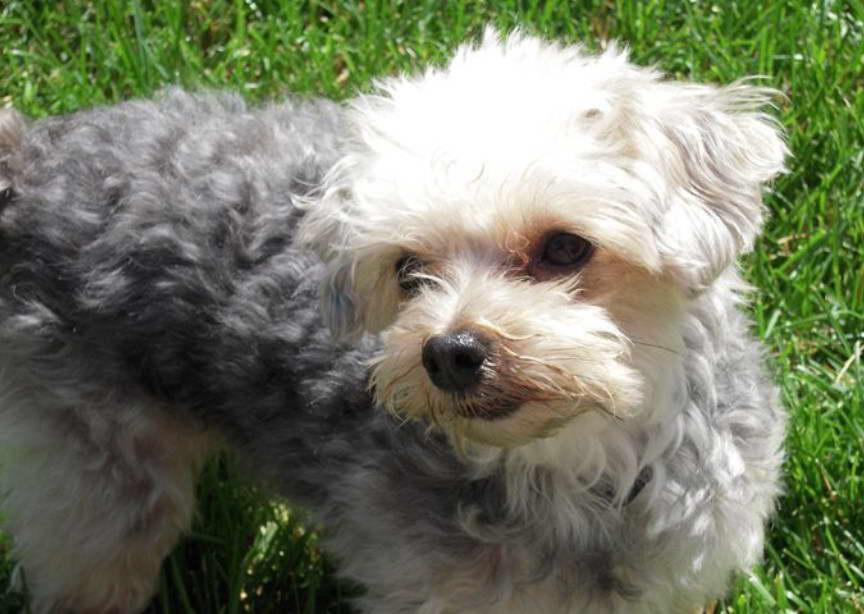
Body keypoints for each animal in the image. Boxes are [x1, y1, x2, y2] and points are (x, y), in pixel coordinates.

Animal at [0, 27, 784, 614]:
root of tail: (29, 158)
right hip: (100, 479)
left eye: (565, 247)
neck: (580, 469)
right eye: (409, 270)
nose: (451, 352)